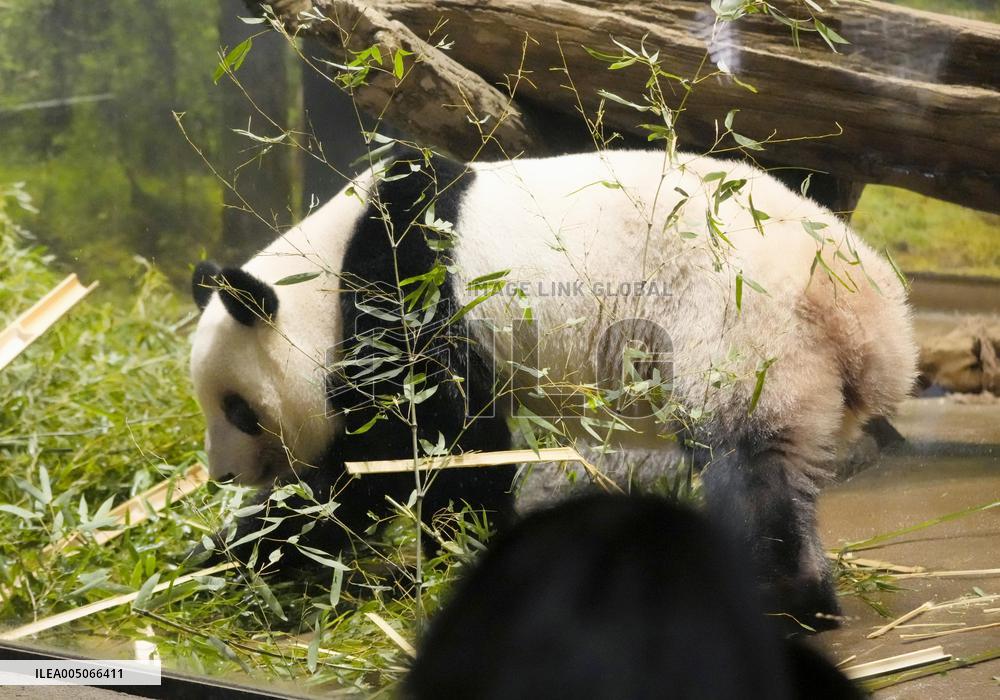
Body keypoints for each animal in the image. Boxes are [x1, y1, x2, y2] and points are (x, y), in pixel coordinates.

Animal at [189, 148, 916, 629]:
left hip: (743, 331)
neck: (324, 274)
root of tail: (869, 319)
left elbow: (403, 454)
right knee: (785, 468)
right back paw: (807, 601)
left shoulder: (406, 290)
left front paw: (233, 554)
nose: (222, 475)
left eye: (240, 410)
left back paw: (780, 604)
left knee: (751, 467)